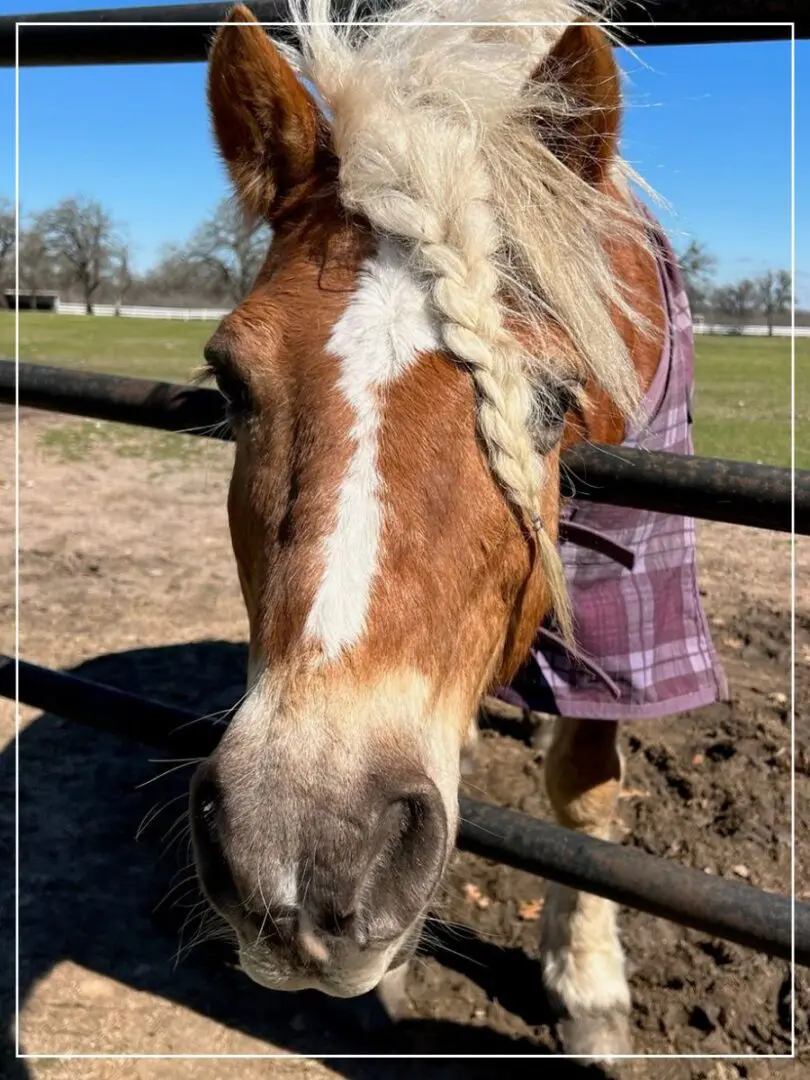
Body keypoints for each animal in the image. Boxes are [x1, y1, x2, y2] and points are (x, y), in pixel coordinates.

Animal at [190, 0, 730, 1058]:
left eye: (555, 398)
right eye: (229, 381)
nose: (306, 857)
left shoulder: (631, 582)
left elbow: (587, 785)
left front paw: (590, 986)